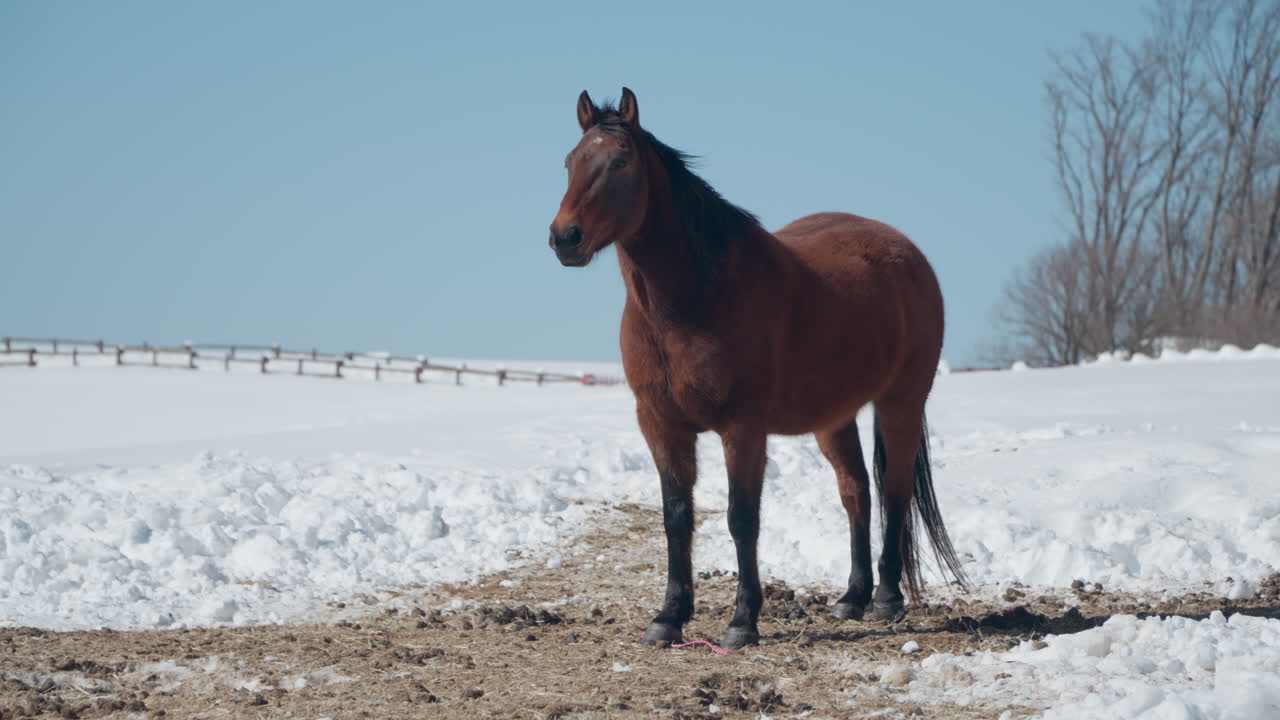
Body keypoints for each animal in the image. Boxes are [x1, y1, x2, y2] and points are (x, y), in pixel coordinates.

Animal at [548, 88, 968, 649]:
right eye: (570, 161)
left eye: (620, 161)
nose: (564, 237)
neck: (691, 300)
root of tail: (907, 254)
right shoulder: (660, 424)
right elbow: (676, 518)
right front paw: (668, 617)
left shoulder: (742, 428)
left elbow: (741, 518)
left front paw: (742, 621)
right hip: (834, 418)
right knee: (856, 491)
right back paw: (852, 598)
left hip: (900, 402)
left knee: (894, 491)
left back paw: (885, 599)